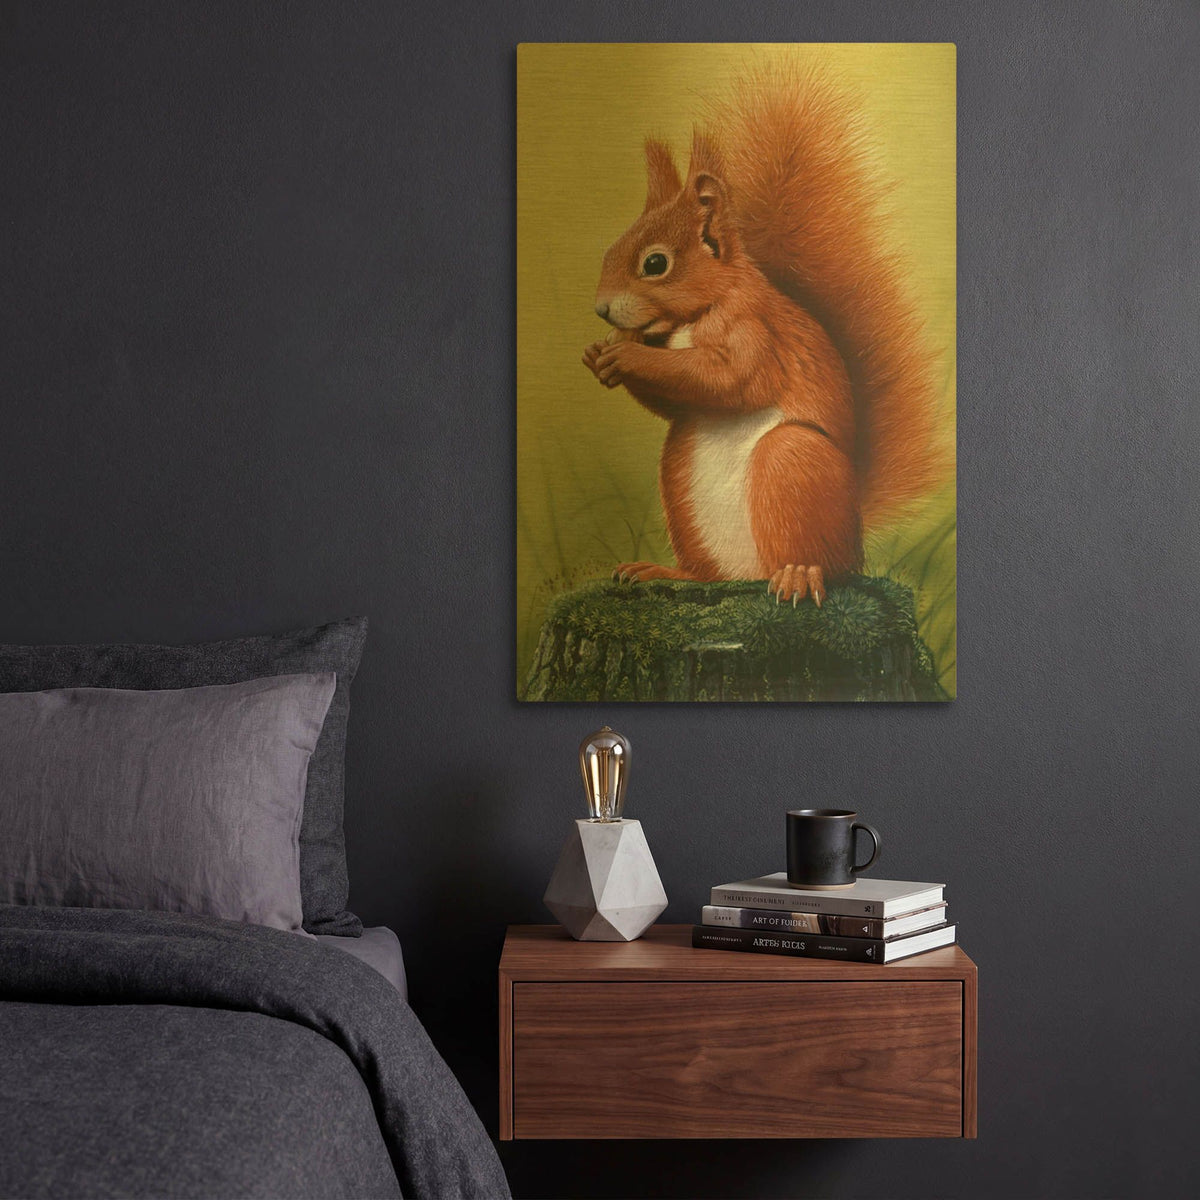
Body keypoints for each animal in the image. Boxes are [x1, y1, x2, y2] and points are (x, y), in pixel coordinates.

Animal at [582, 68, 945, 607]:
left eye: (655, 263)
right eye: (610, 249)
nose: (602, 308)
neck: (696, 316)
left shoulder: (755, 332)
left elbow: (731, 379)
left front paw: (624, 354)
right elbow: (677, 400)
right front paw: (598, 354)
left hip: (791, 462)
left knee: (822, 562)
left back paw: (798, 574)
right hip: (680, 480)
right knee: (710, 574)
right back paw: (664, 571)